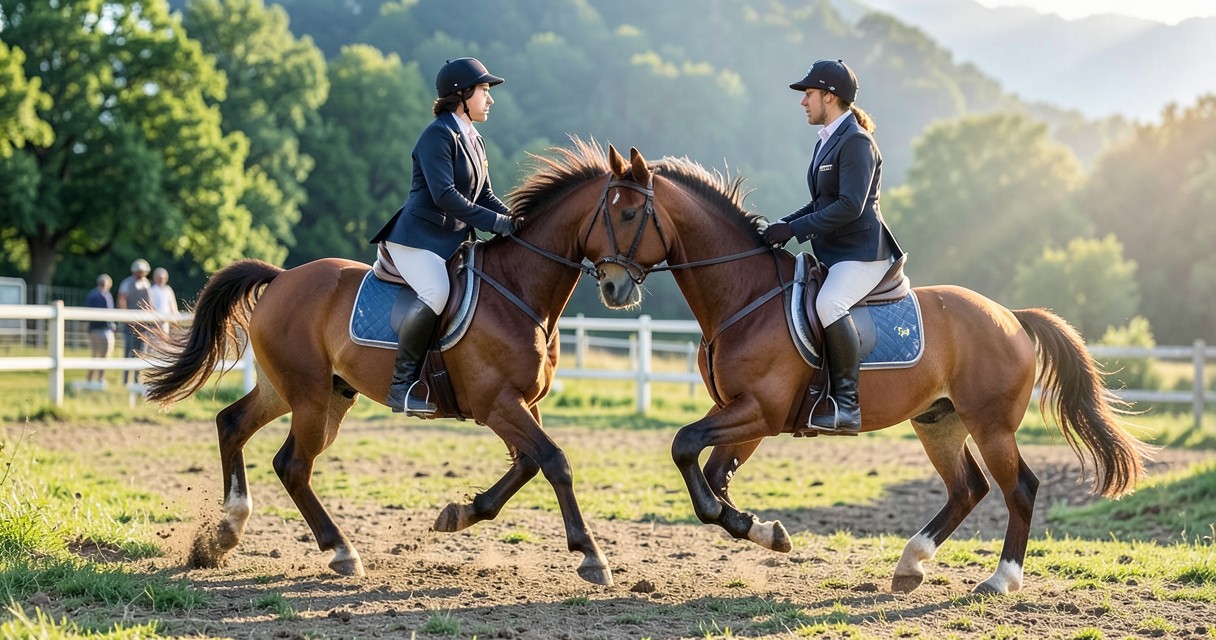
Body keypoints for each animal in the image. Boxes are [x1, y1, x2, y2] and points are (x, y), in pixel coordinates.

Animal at [142, 138, 658, 586]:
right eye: (629, 213)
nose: (619, 289)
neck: (518, 287)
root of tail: (282, 277)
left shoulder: (524, 404)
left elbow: (528, 465)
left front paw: (459, 515)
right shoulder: (497, 404)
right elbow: (554, 461)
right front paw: (591, 556)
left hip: (302, 391)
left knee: (233, 425)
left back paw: (226, 532)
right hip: (309, 395)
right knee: (292, 464)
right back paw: (339, 550)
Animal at [586, 145, 1154, 594]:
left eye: (630, 213)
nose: (611, 286)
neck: (745, 296)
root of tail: (1011, 316)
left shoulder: (758, 411)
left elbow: (686, 447)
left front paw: (755, 526)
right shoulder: (743, 412)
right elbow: (712, 475)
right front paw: (763, 530)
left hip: (990, 424)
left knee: (1019, 489)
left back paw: (1000, 579)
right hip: (938, 421)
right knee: (967, 488)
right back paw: (911, 565)